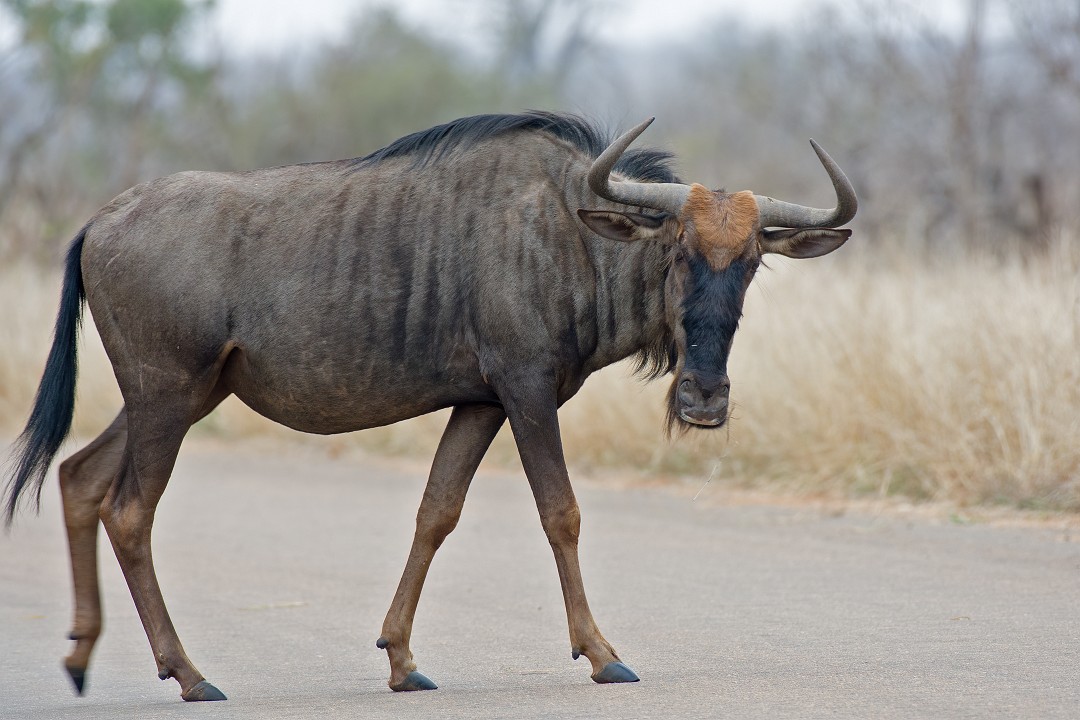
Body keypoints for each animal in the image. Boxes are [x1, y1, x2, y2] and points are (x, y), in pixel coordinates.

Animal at [3, 111, 856, 701]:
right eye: (679, 251)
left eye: (751, 261)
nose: (705, 399)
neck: (567, 232)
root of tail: (98, 222)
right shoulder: (526, 390)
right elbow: (561, 512)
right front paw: (602, 654)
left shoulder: (480, 403)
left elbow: (435, 511)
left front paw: (403, 661)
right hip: (166, 397)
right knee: (129, 511)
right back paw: (189, 675)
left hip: (180, 396)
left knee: (80, 479)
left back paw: (81, 658)